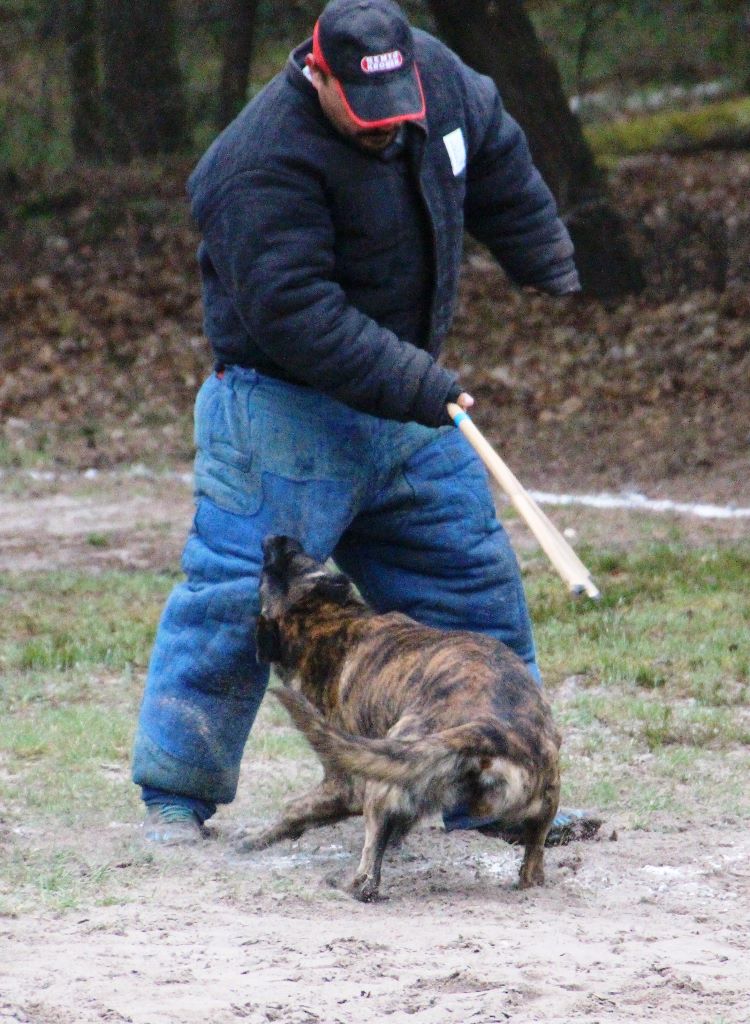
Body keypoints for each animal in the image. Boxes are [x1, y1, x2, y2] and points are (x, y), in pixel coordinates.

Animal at [239, 532, 561, 901]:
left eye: (266, 576)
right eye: (296, 557)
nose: (275, 539)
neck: (328, 622)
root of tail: (492, 728)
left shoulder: (344, 785)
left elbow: (294, 810)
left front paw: (256, 838)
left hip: (382, 778)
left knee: (368, 875)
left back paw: (346, 884)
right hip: (540, 810)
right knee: (533, 863)